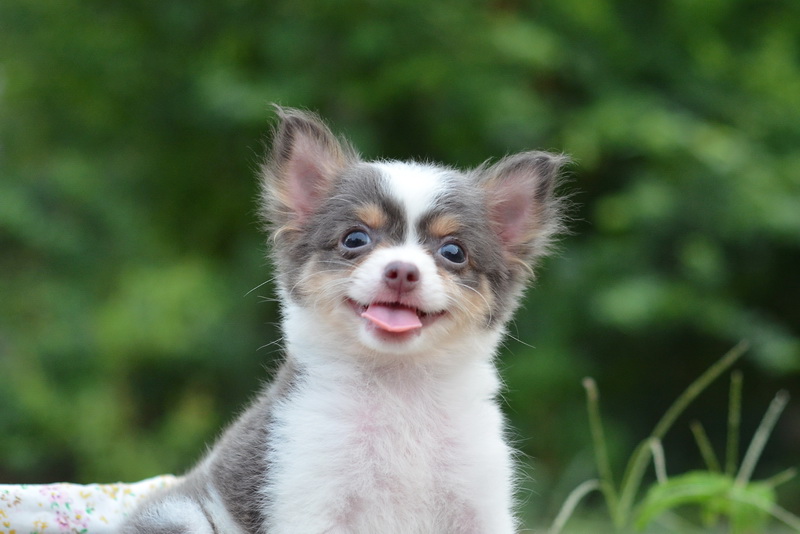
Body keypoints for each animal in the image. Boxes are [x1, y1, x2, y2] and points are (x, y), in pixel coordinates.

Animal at [121, 107, 567, 533]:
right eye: (355, 239)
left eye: (454, 252)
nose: (402, 271)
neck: (398, 389)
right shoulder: (306, 490)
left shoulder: (479, 500)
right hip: (180, 515)